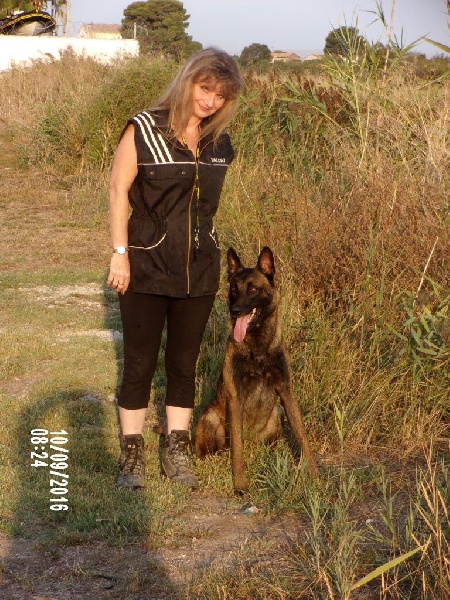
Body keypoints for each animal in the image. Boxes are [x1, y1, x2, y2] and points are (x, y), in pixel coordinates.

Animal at [195, 246, 319, 492]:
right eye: (234, 288)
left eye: (253, 289)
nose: (234, 310)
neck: (258, 349)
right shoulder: (236, 399)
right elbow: (237, 449)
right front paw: (241, 483)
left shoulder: (286, 392)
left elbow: (302, 435)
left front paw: (313, 473)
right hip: (211, 418)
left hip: (276, 414)